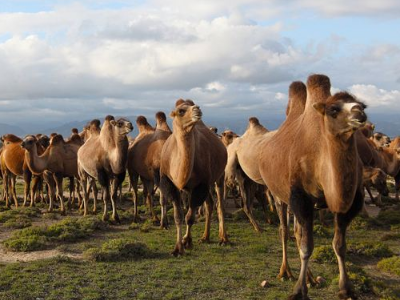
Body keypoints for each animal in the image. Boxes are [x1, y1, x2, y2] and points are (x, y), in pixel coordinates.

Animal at [159, 99, 228, 254]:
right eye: (181, 111)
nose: (198, 110)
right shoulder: (169, 183)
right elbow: (178, 216)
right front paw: (177, 248)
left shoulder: (200, 184)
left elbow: (189, 217)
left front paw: (187, 242)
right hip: (205, 184)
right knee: (209, 204)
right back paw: (205, 237)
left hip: (219, 177)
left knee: (220, 204)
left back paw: (224, 239)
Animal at [258, 73, 368, 300]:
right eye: (333, 109)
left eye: (362, 105)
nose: (359, 113)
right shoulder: (300, 197)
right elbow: (307, 246)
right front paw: (298, 291)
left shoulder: (349, 204)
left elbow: (339, 245)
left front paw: (346, 288)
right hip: (277, 194)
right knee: (284, 230)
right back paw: (286, 272)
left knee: (298, 231)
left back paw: (309, 277)